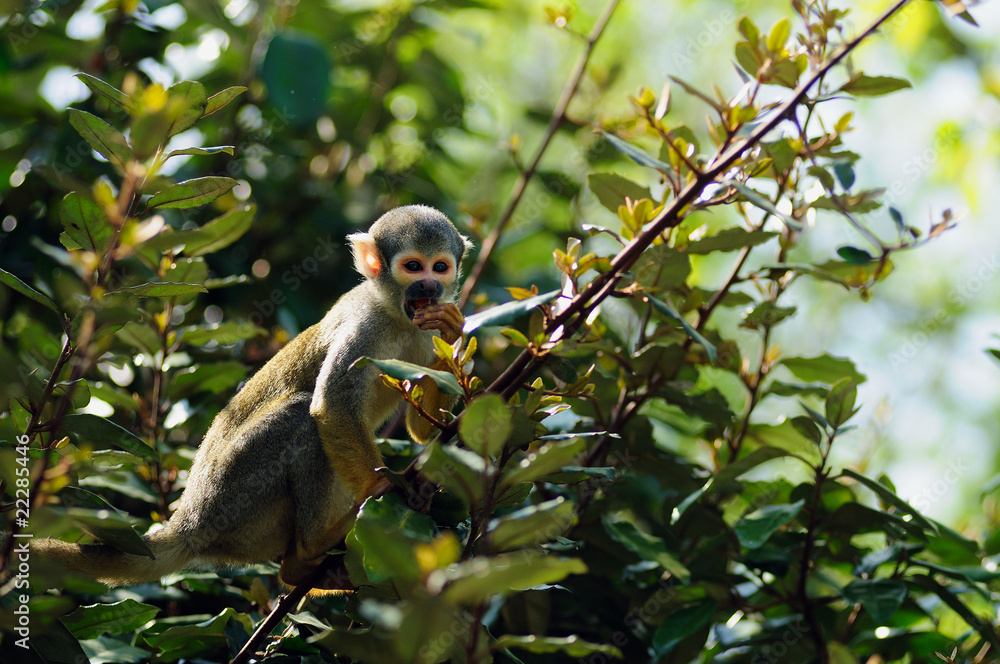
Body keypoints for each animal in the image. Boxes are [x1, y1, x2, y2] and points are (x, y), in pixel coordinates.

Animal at [30, 205, 473, 589]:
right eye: (413, 267)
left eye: (440, 267)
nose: (430, 285)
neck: (398, 316)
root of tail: (188, 522)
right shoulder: (365, 324)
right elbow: (330, 405)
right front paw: (383, 489)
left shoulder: (425, 333)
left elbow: (419, 427)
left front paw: (455, 331)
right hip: (233, 498)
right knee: (300, 416)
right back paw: (311, 550)